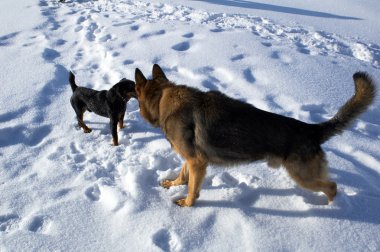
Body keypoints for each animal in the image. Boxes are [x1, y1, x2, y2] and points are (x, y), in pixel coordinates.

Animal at [134, 64, 374, 207]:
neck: (163, 97)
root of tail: (312, 129)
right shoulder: (192, 160)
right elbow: (183, 175)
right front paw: (174, 184)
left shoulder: (197, 162)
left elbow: (193, 188)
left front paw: (187, 204)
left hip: (302, 176)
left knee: (332, 187)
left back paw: (331, 210)